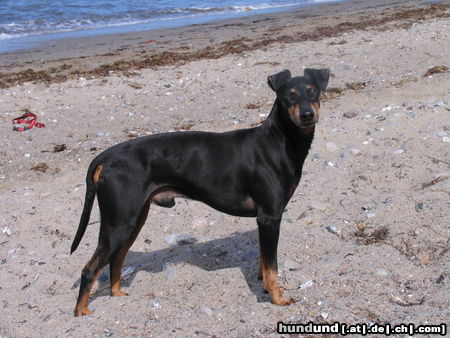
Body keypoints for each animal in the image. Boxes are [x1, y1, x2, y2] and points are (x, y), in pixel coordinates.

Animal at [71, 67, 330, 316]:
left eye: (313, 92)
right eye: (289, 96)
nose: (307, 114)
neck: (278, 141)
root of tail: (107, 157)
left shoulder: (264, 220)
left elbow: (264, 263)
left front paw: (265, 286)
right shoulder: (269, 217)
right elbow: (272, 267)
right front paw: (277, 298)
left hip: (133, 220)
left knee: (116, 260)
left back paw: (117, 295)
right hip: (119, 223)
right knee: (90, 269)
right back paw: (81, 311)